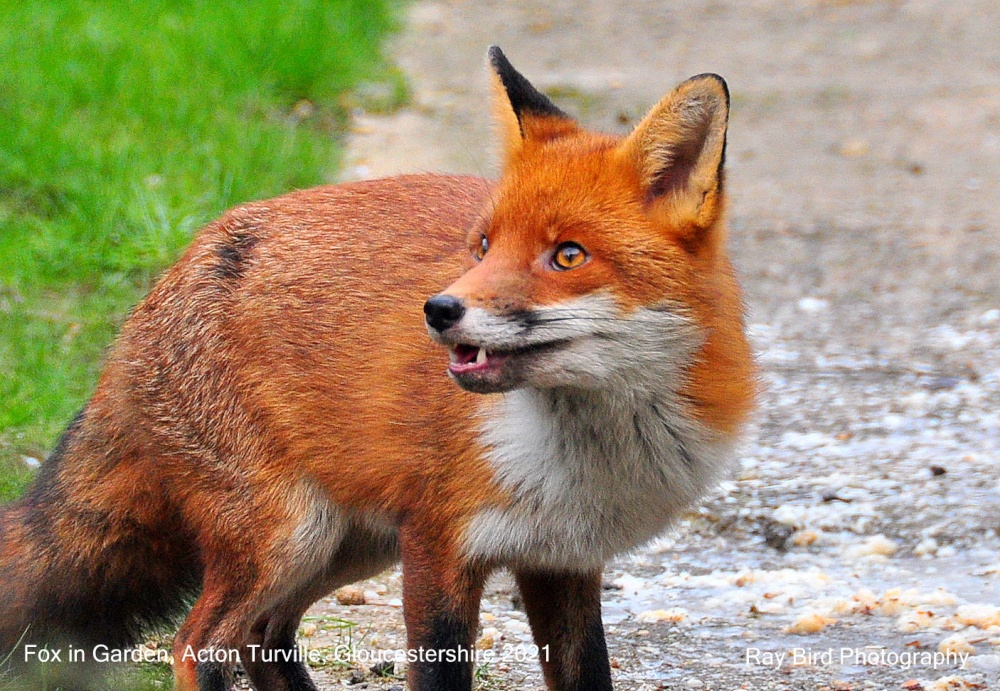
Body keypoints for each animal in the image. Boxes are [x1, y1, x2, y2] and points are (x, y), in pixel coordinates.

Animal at [0, 47, 754, 690]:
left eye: (568, 255)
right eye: (483, 245)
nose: (440, 309)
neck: (584, 456)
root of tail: (160, 288)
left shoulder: (561, 560)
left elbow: (588, 672)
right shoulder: (439, 543)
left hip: (347, 543)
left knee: (263, 636)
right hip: (288, 536)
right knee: (200, 641)